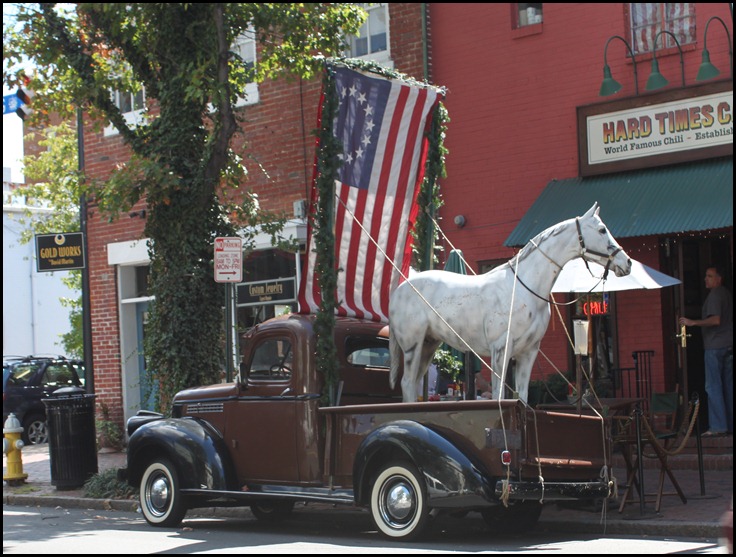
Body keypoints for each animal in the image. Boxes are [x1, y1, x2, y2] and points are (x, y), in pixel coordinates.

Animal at [392, 202, 632, 402]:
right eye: (602, 230)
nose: (626, 263)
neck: (525, 288)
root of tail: (400, 288)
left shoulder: (528, 352)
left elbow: (522, 396)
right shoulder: (501, 349)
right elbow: (499, 395)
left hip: (428, 345)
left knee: (413, 384)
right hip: (413, 346)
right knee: (407, 383)